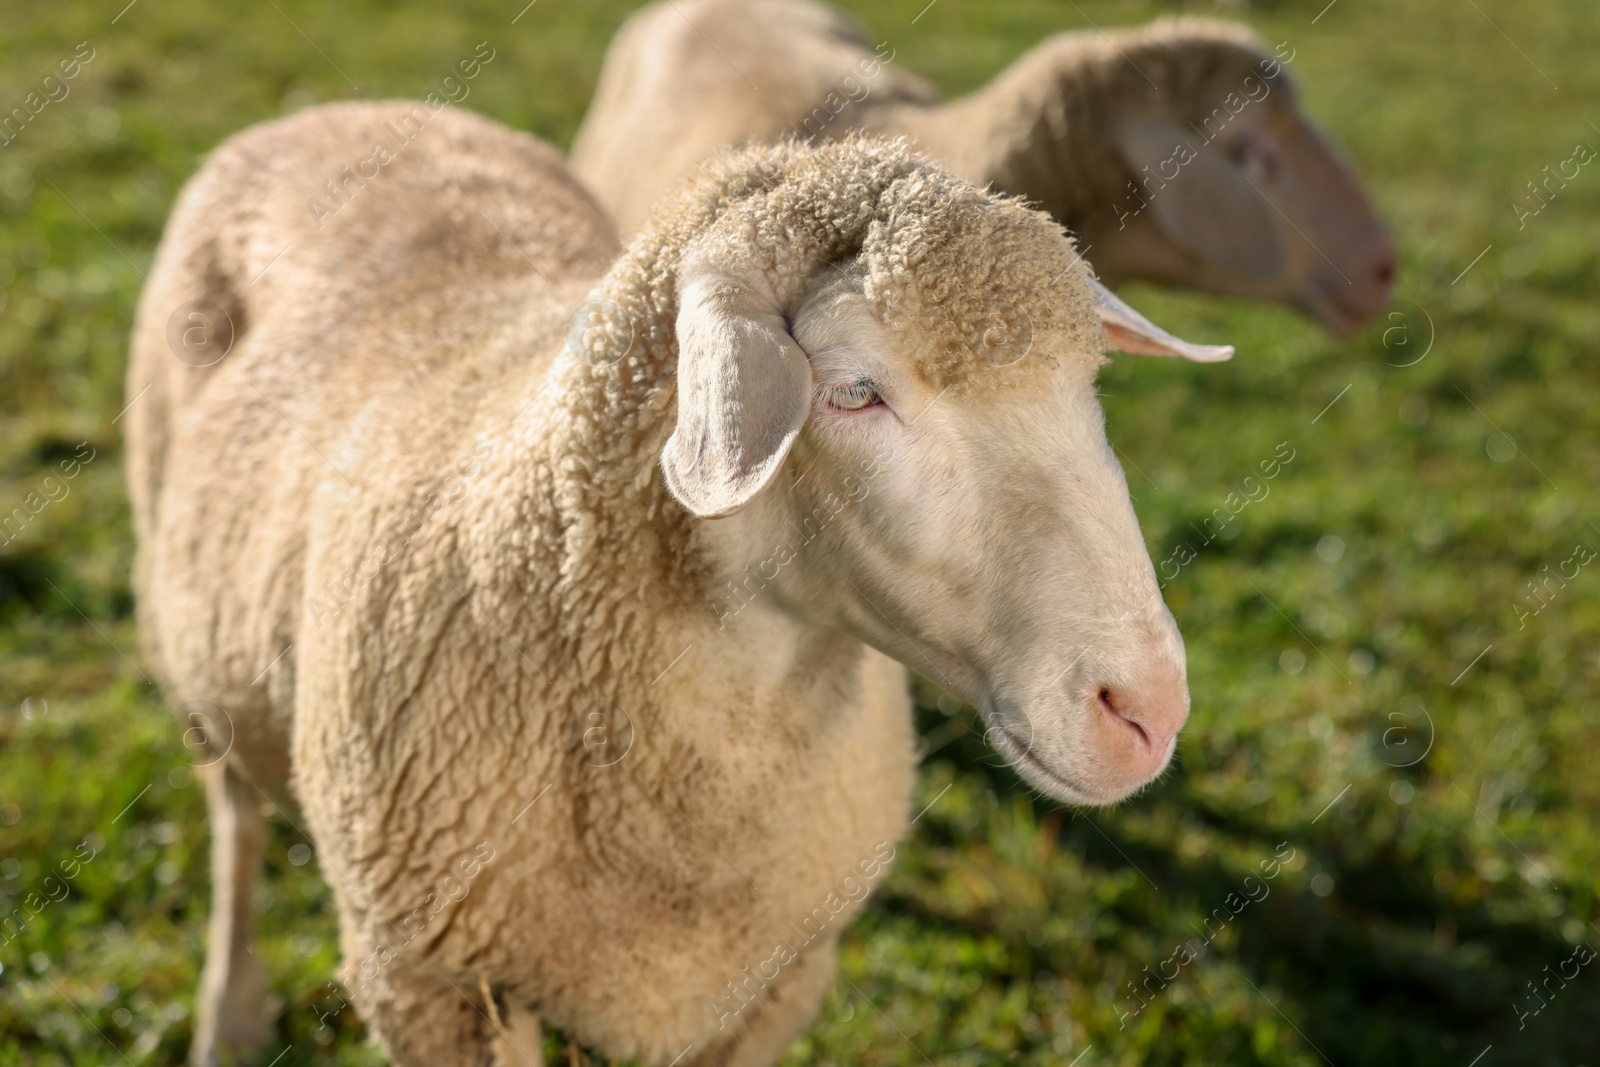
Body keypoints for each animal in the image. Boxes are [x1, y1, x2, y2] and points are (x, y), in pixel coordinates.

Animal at [128, 99, 1222, 1067]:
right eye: (853, 392)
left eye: (1087, 383)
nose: (1148, 709)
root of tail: (348, 108)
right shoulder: (434, 985)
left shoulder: (777, 979)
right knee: (232, 819)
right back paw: (227, 1014)